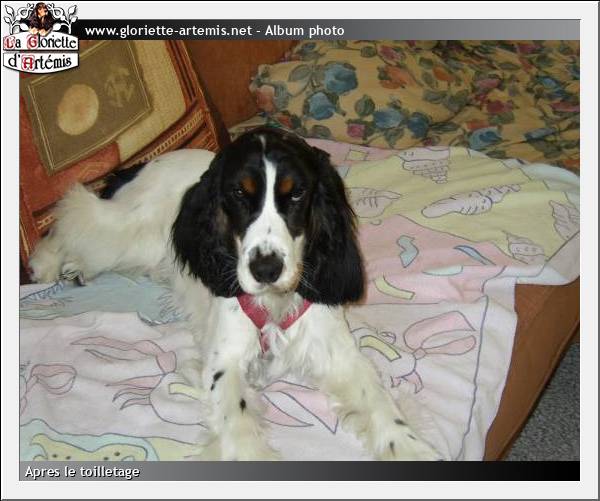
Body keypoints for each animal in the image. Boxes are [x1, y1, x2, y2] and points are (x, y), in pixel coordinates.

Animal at [29, 127, 441, 461]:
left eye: (297, 195)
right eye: (239, 194)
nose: (266, 269)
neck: (274, 304)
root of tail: (142, 163)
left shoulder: (338, 352)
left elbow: (380, 403)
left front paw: (411, 448)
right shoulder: (224, 365)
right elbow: (238, 423)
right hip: (125, 232)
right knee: (75, 218)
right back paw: (47, 264)